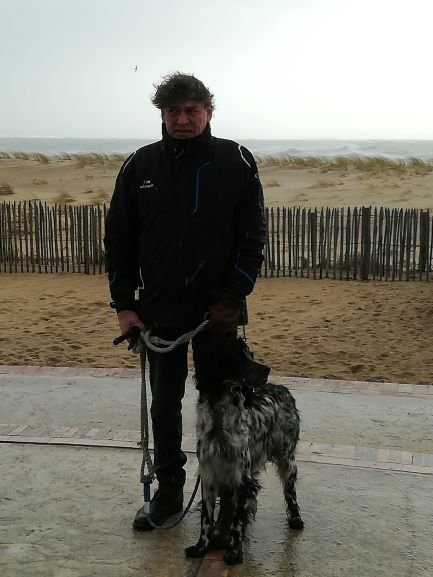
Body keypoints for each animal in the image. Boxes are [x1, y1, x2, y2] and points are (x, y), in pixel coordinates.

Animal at [185, 335, 304, 565]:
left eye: (250, 353)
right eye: (237, 356)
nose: (267, 369)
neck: (220, 420)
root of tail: (283, 388)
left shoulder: (241, 477)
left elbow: (236, 521)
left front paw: (234, 552)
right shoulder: (209, 475)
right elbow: (206, 518)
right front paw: (201, 547)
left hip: (286, 457)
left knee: (290, 490)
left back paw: (295, 518)